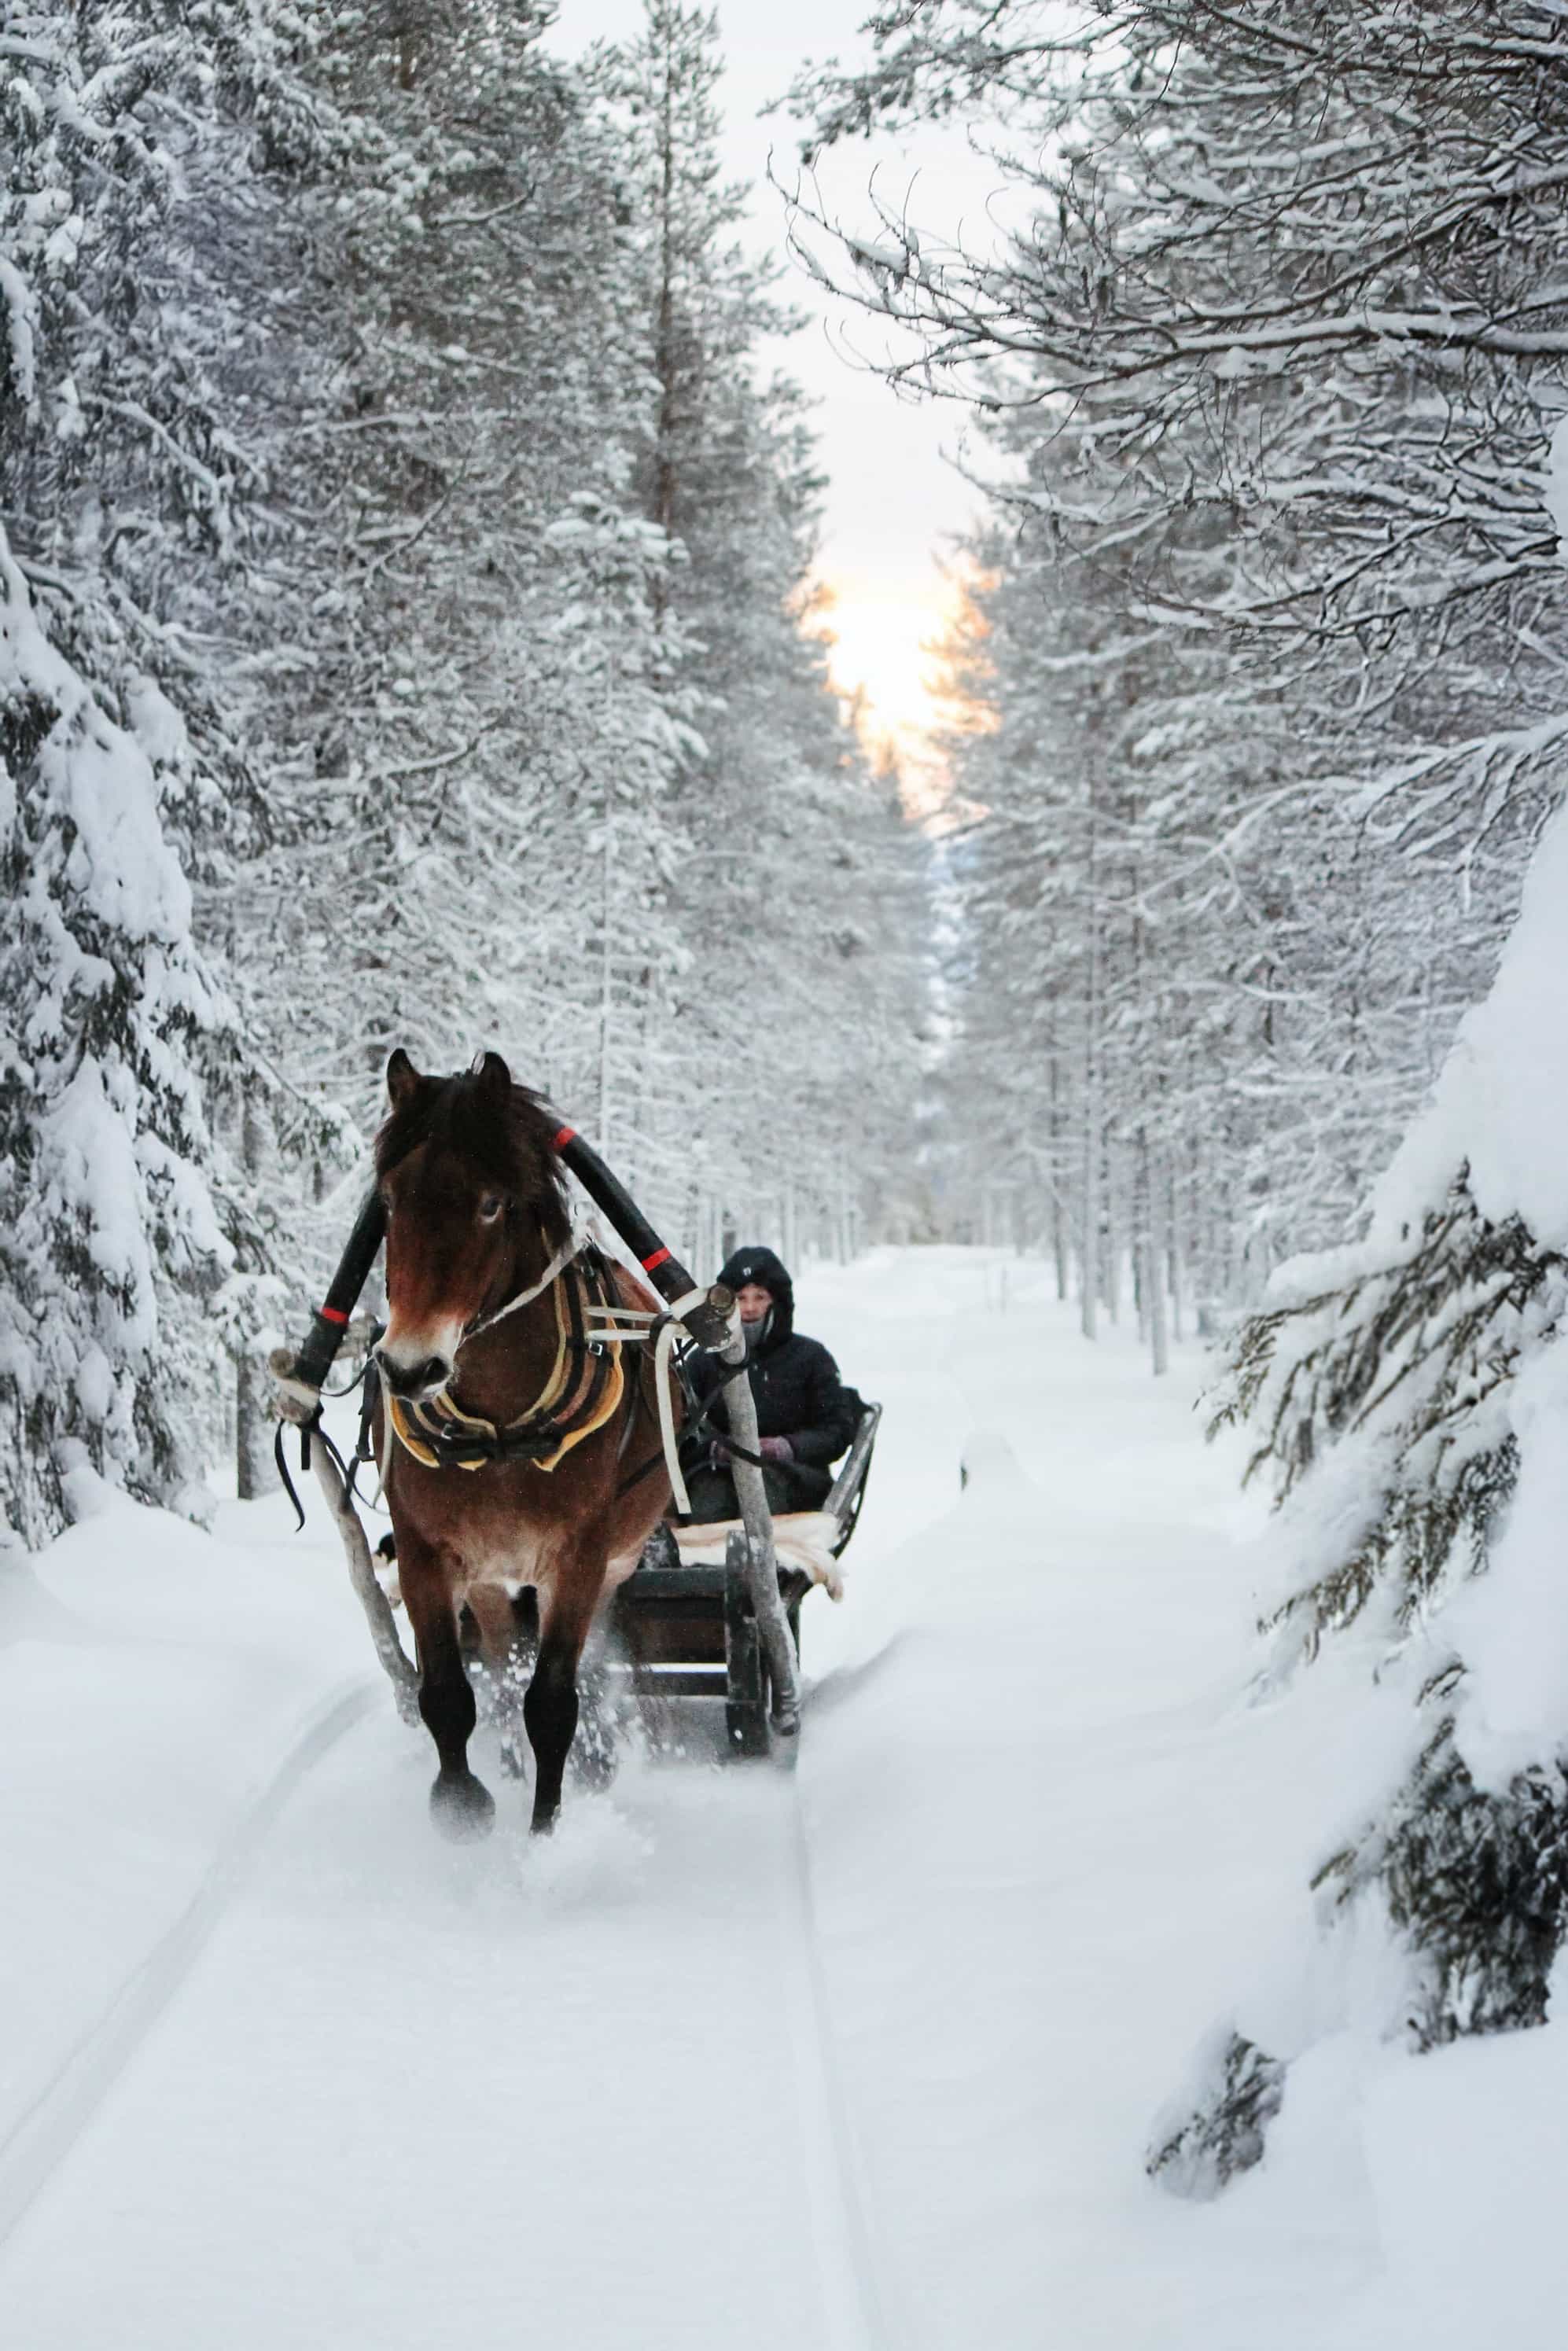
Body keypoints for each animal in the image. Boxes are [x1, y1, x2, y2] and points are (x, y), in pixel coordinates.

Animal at [371, 1047, 672, 1839]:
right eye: (390, 1201)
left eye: (489, 1204)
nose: (410, 1368)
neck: (502, 1432)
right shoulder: (425, 1550)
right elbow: (447, 1694)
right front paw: (462, 1810)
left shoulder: (579, 1556)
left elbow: (555, 1702)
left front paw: (547, 1831)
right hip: (487, 1577)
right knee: (502, 1664)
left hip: (612, 1567)